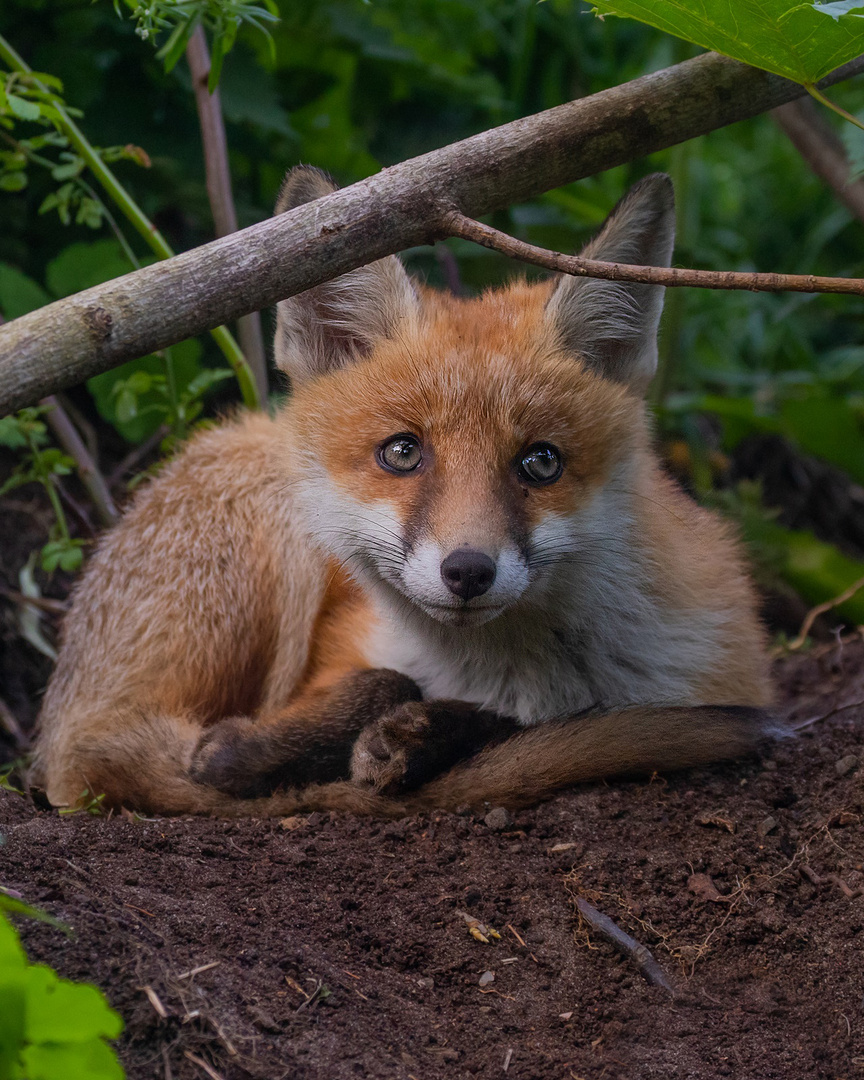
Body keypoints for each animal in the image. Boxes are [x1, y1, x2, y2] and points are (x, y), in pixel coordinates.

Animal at [30, 166, 773, 816]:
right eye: (402, 452)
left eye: (540, 463)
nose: (468, 571)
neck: (507, 675)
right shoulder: (340, 656)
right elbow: (379, 685)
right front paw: (279, 751)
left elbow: (510, 722)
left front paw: (420, 738)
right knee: (114, 759)